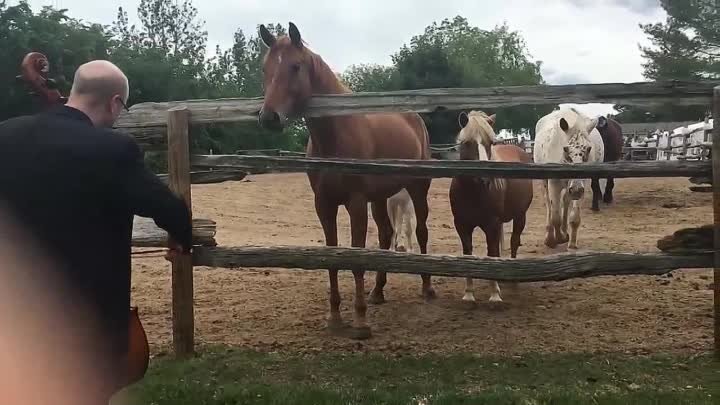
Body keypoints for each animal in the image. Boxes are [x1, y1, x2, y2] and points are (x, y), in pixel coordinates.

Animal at [256, 22, 434, 338]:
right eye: (266, 68)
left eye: (295, 66)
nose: (269, 118)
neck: (335, 135)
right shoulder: (324, 205)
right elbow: (333, 259)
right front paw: (335, 317)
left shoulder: (356, 203)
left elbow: (356, 259)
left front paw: (360, 322)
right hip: (380, 198)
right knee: (386, 235)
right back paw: (378, 292)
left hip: (416, 189)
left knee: (422, 232)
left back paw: (426, 288)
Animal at [450, 110, 536, 304]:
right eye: (467, 143)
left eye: (490, 143)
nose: (485, 177)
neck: (473, 192)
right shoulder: (461, 225)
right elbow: (468, 254)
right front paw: (468, 294)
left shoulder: (492, 224)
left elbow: (492, 252)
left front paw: (495, 295)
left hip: (520, 216)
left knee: (513, 242)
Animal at [536, 107, 600, 249]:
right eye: (565, 149)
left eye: (589, 149)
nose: (575, 190)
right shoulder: (553, 182)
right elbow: (555, 216)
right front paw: (556, 239)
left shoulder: (582, 184)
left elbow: (574, 217)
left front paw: (571, 243)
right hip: (546, 183)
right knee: (549, 205)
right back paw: (550, 236)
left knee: (565, 201)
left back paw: (565, 232)